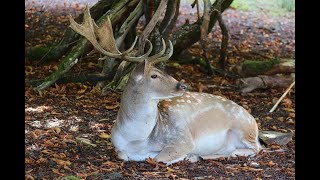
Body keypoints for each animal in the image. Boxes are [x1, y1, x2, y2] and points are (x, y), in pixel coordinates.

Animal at [69, 5, 262, 165]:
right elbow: (124, 155)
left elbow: (159, 158)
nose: (182, 86)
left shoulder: (182, 138)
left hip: (243, 128)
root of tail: (254, 121)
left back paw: (203, 155)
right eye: (154, 75)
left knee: (256, 149)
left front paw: (187, 155)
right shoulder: (118, 147)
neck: (138, 140)